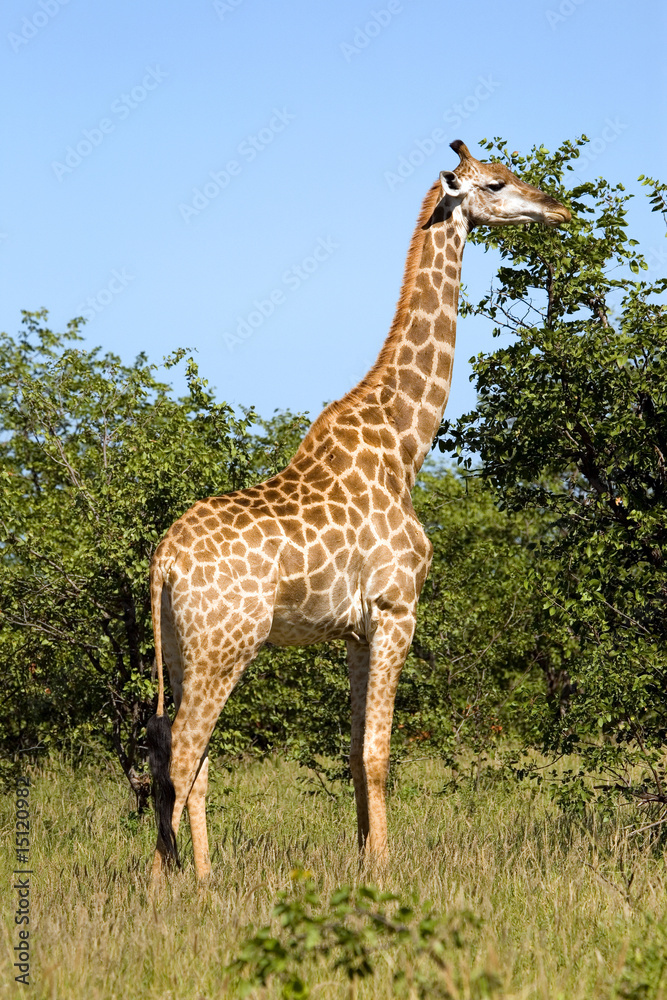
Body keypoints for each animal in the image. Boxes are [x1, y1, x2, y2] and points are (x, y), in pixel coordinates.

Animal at [146, 140, 571, 879]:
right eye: (495, 183)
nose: (557, 208)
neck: (407, 444)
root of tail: (164, 560)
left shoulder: (352, 630)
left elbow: (351, 754)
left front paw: (362, 858)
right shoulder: (398, 609)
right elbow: (378, 754)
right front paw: (384, 870)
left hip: (180, 647)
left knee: (175, 752)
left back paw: (184, 876)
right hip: (226, 644)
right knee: (184, 753)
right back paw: (181, 883)